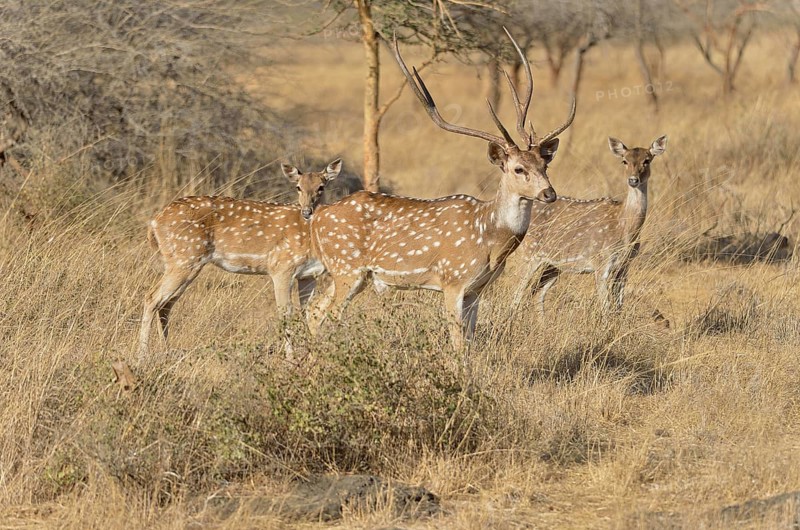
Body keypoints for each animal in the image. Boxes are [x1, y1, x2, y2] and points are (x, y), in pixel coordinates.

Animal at [138, 158, 342, 358]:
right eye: (298, 187)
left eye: (321, 187)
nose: (307, 211)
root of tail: (154, 222)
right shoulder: (281, 267)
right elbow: (285, 313)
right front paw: (291, 358)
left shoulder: (307, 275)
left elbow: (308, 311)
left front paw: (310, 353)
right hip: (184, 258)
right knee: (151, 298)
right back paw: (142, 355)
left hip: (184, 263)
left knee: (166, 304)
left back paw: (165, 350)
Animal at [304, 28, 576, 351]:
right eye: (518, 169)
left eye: (544, 164)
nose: (549, 193)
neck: (490, 238)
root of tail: (317, 217)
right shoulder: (453, 279)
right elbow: (458, 344)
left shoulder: (476, 290)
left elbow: (470, 341)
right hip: (347, 268)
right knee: (327, 316)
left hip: (343, 273)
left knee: (313, 311)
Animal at [510, 135, 667, 315]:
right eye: (624, 161)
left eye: (647, 160)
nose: (633, 180)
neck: (624, 228)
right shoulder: (601, 261)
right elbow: (606, 308)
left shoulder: (625, 266)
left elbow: (618, 307)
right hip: (528, 254)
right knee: (516, 294)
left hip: (553, 264)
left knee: (537, 293)